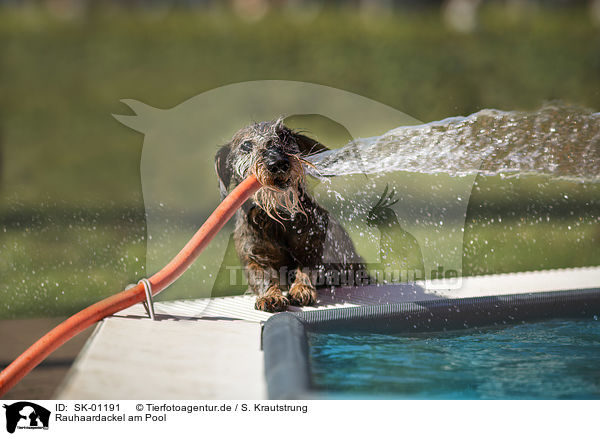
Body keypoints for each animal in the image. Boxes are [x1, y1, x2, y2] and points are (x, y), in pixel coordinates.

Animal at [213, 117, 368, 312]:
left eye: (284, 136)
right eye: (246, 145)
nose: (278, 162)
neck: (276, 219)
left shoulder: (314, 246)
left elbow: (307, 269)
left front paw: (302, 289)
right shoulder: (253, 256)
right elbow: (261, 276)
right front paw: (270, 296)